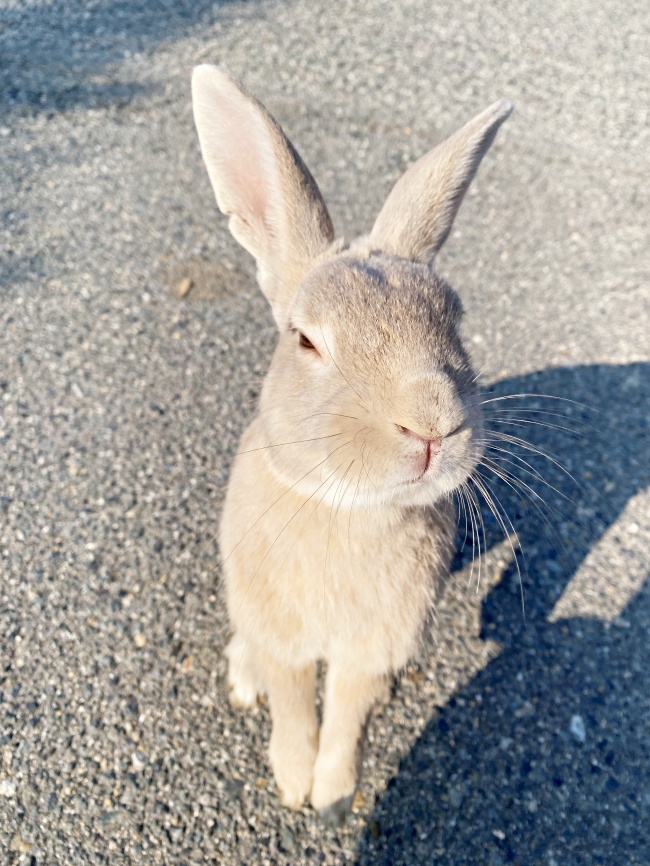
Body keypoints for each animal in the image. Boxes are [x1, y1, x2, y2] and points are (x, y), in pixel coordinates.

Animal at [190, 66, 512, 816]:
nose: (433, 422)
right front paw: (292, 784)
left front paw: (333, 794)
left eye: (454, 319)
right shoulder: (286, 641)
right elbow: (292, 705)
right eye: (306, 340)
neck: (350, 510)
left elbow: (347, 712)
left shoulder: (374, 644)